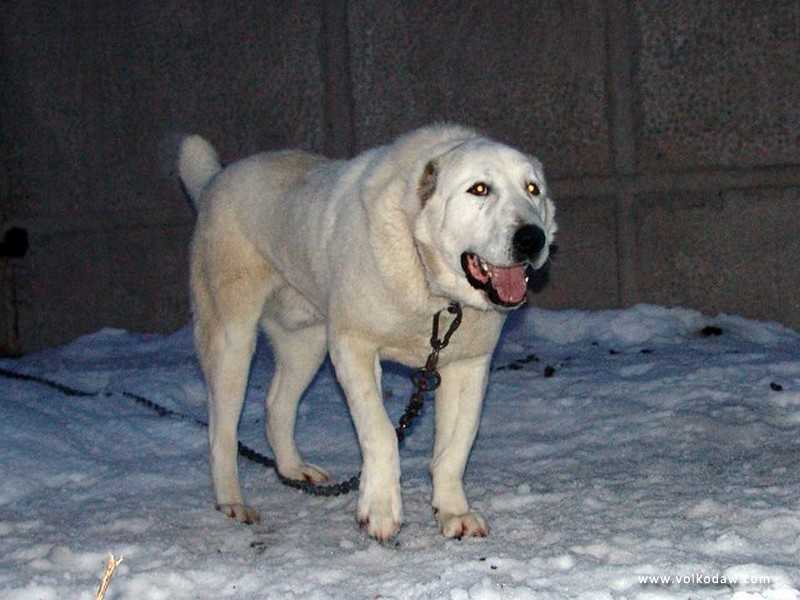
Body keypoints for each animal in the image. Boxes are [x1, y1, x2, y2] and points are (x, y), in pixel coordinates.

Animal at [180, 124, 556, 540]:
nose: (532, 238)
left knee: (277, 404)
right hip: (232, 340)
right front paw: (380, 511)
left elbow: (455, 448)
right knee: (222, 431)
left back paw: (293, 469)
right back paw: (232, 503)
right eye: (479, 189)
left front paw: (453, 512)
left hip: (307, 344)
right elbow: (381, 432)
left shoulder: (469, 366)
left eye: (533, 189)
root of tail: (215, 180)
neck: (433, 286)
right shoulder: (352, 348)